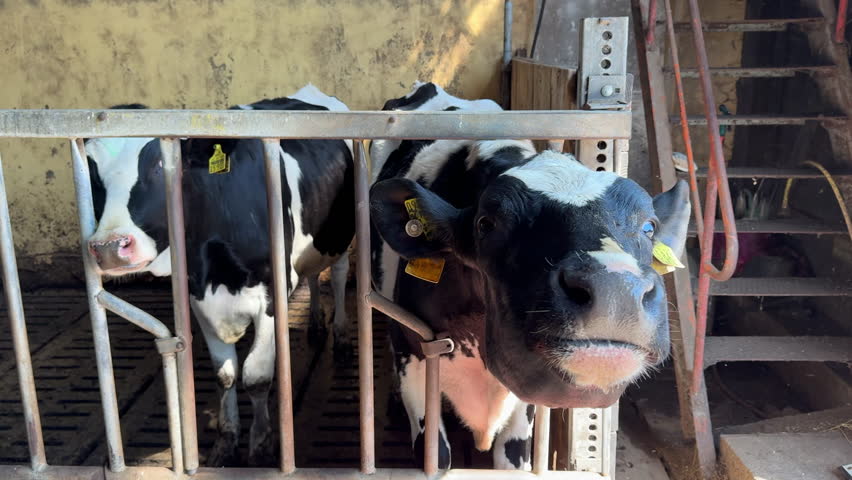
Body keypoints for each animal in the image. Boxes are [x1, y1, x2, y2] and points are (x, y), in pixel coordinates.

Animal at [84, 85, 355, 466]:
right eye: (92, 171)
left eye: (161, 163)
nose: (109, 246)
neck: (214, 260)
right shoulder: (198, 296)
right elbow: (225, 374)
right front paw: (227, 441)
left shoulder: (271, 293)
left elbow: (256, 376)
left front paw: (260, 445)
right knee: (312, 276)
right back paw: (315, 325)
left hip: (339, 236)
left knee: (340, 275)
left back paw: (341, 337)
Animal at [369, 82, 690, 470]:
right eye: (486, 224)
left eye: (648, 227)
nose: (616, 288)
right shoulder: (413, 354)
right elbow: (438, 458)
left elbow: (512, 457)